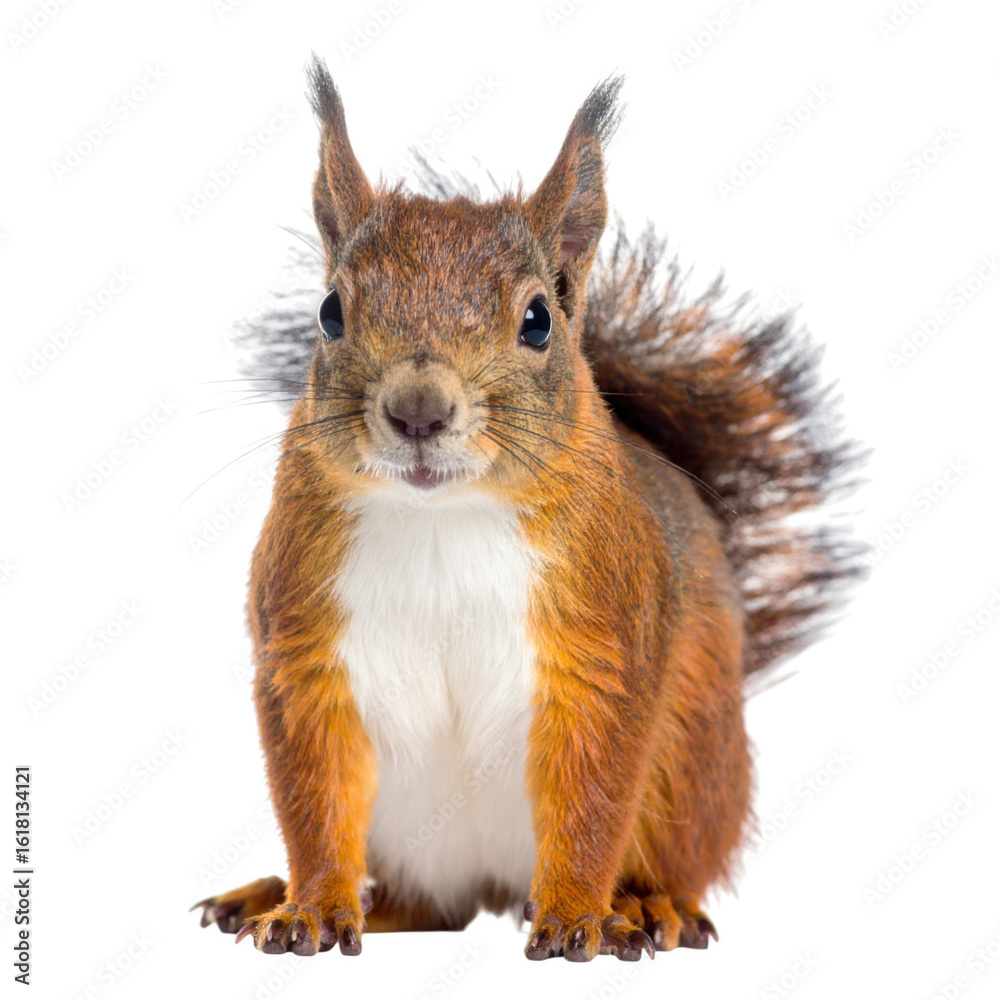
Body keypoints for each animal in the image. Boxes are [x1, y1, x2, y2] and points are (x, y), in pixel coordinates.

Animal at [191, 55, 860, 962]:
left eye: (538, 319)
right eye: (329, 312)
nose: (419, 412)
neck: (441, 519)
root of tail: (495, 885)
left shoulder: (605, 647)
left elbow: (593, 799)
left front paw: (579, 915)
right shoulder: (303, 648)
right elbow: (316, 800)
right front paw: (311, 908)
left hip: (692, 768)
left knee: (669, 857)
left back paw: (648, 905)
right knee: (421, 905)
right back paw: (278, 895)